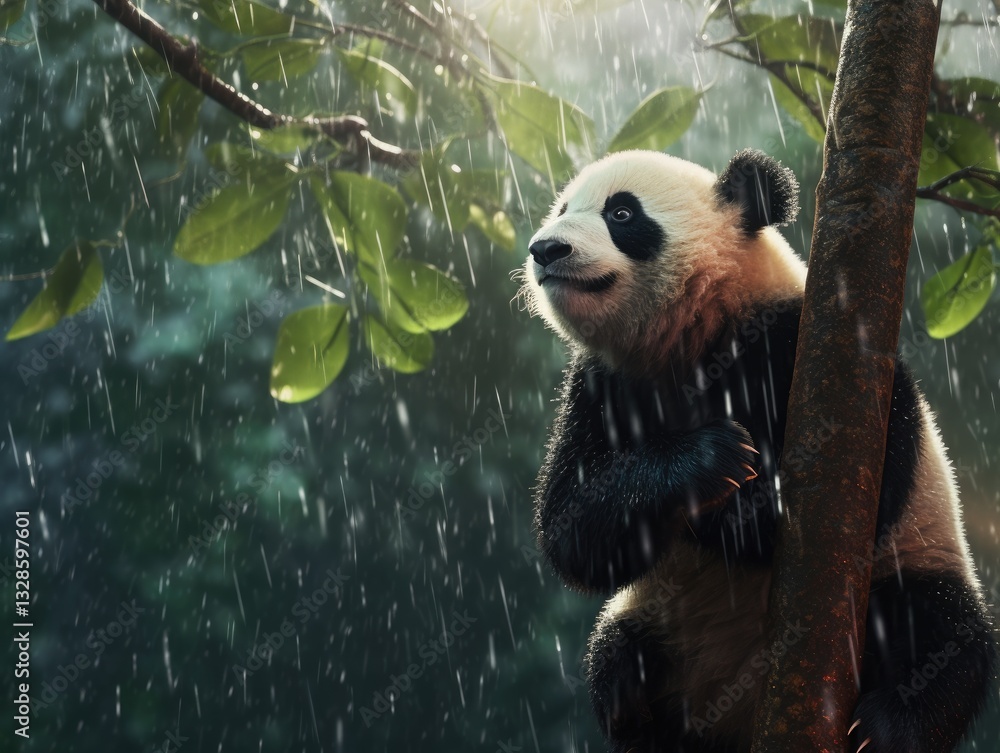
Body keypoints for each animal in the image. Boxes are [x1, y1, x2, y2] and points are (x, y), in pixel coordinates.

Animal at [518, 148, 997, 753]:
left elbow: (863, 472)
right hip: (656, 620)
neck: (691, 331)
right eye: (561, 208)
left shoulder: (800, 337)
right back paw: (644, 715)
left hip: (914, 563)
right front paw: (709, 467)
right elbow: (574, 529)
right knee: (616, 658)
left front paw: (745, 515)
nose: (545, 248)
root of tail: (741, 719)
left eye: (622, 213)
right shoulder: (603, 386)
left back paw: (887, 728)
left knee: (943, 639)